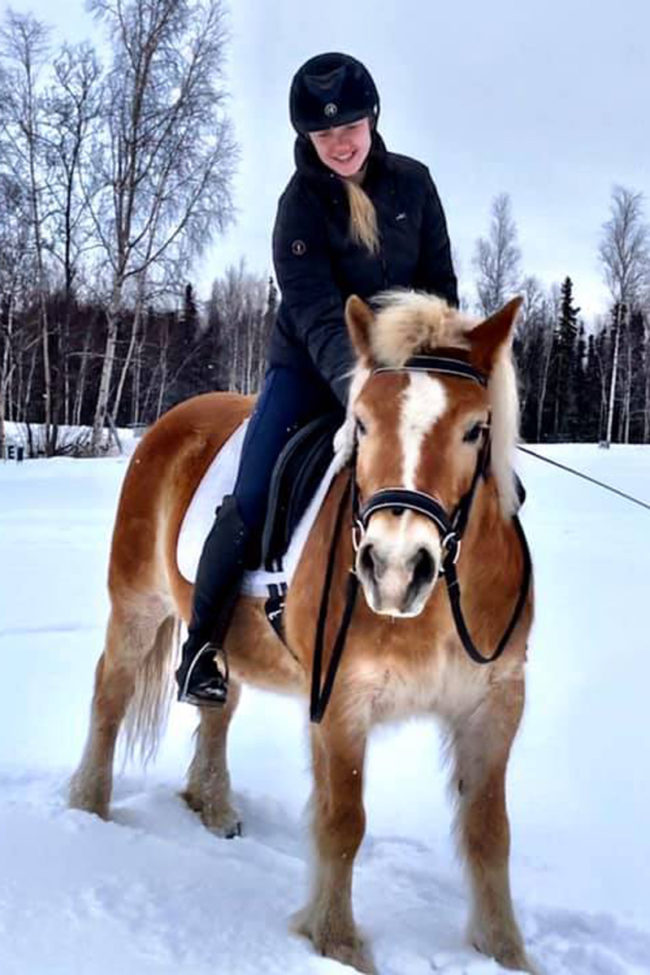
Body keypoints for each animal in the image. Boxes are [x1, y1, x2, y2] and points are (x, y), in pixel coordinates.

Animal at [69, 290, 534, 974]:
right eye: (361, 423)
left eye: (476, 428)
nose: (396, 568)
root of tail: (177, 416)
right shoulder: (341, 704)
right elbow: (344, 824)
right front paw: (336, 942)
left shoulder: (493, 708)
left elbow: (491, 832)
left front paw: (506, 954)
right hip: (136, 603)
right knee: (110, 695)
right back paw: (89, 804)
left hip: (224, 644)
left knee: (216, 710)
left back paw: (213, 805)